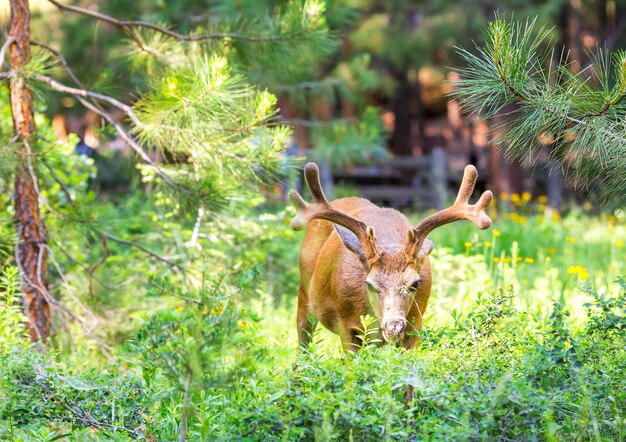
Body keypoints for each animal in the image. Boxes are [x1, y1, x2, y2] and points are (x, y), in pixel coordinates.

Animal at [288, 162, 492, 352]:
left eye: (415, 283)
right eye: (369, 283)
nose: (394, 327)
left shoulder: (415, 323)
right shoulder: (345, 322)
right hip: (304, 292)